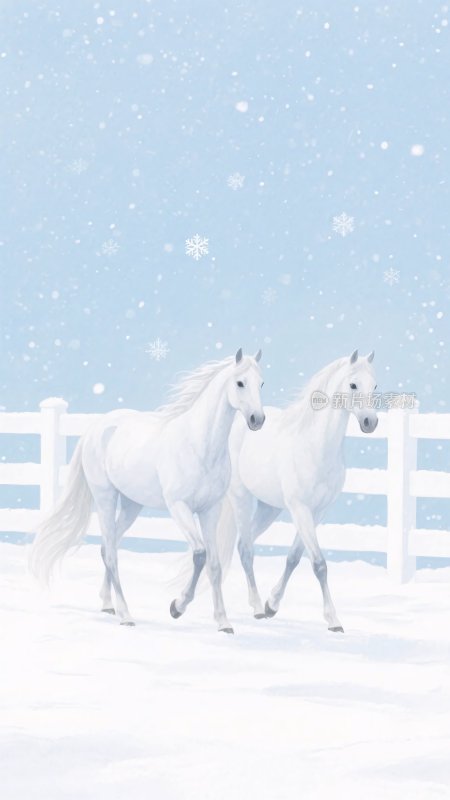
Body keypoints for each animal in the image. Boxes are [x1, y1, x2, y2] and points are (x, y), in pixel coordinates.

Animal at [30, 349, 265, 633]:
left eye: (261, 384)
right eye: (240, 383)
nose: (257, 420)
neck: (200, 446)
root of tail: (95, 428)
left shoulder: (210, 510)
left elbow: (214, 564)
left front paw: (223, 623)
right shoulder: (179, 507)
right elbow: (199, 555)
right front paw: (177, 607)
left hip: (131, 505)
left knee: (108, 547)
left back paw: (107, 604)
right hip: (105, 498)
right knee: (111, 553)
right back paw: (125, 615)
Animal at [218, 349, 378, 632]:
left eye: (375, 386)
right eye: (353, 385)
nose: (371, 422)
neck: (316, 447)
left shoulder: (318, 512)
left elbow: (294, 557)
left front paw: (273, 604)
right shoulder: (300, 509)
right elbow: (319, 564)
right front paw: (333, 621)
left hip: (269, 509)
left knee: (243, 544)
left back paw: (259, 606)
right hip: (241, 498)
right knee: (246, 549)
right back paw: (256, 609)